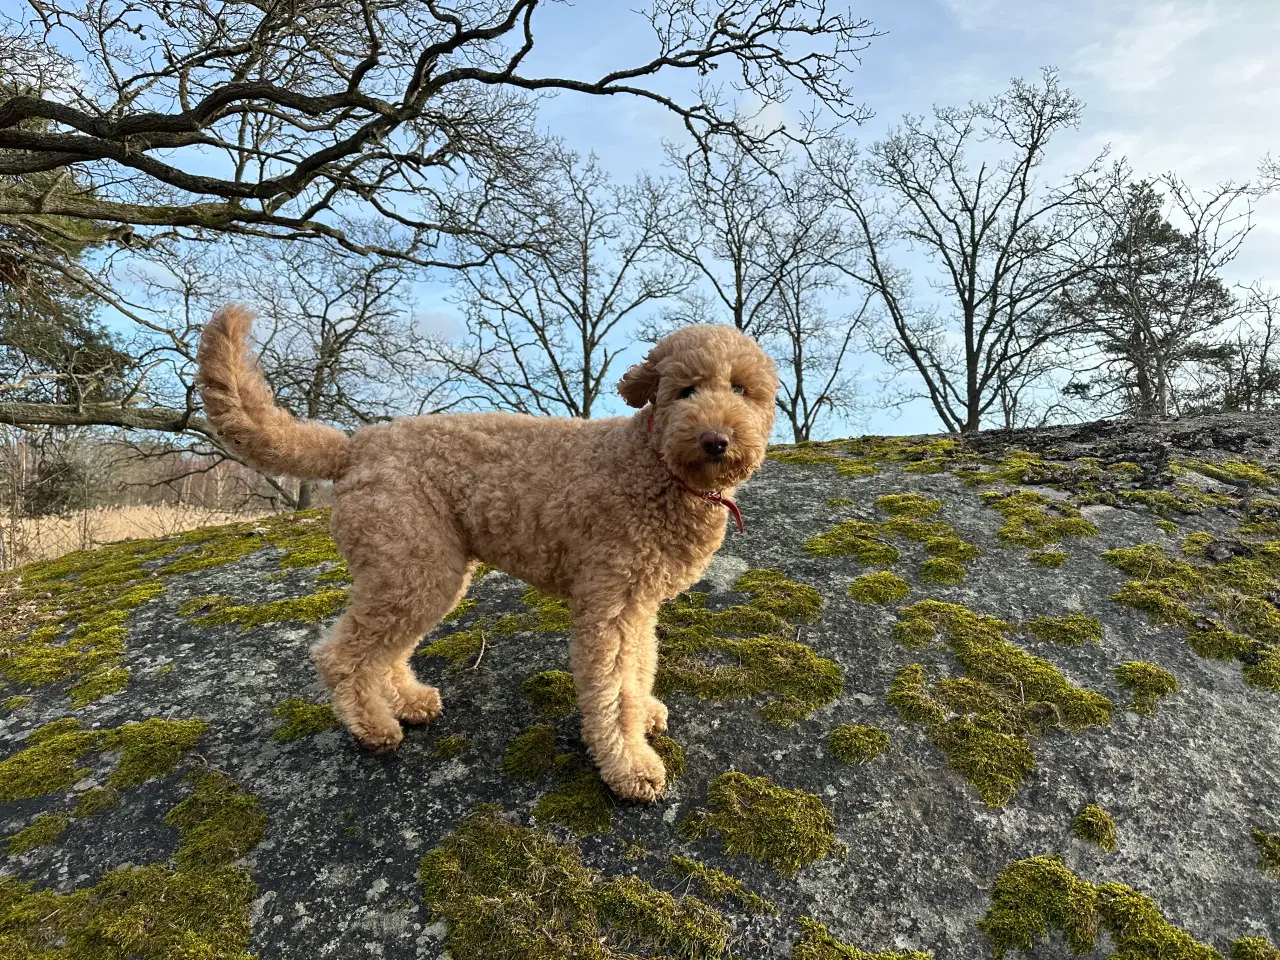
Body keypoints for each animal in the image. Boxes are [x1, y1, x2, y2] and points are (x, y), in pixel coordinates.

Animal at [197, 308, 778, 803]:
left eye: (742, 389)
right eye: (685, 390)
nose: (716, 439)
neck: (655, 466)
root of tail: (354, 445)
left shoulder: (638, 602)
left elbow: (638, 667)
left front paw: (646, 715)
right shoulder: (610, 603)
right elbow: (613, 690)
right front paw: (629, 764)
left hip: (420, 569)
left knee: (384, 648)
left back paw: (407, 701)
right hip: (414, 565)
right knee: (341, 654)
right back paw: (374, 727)